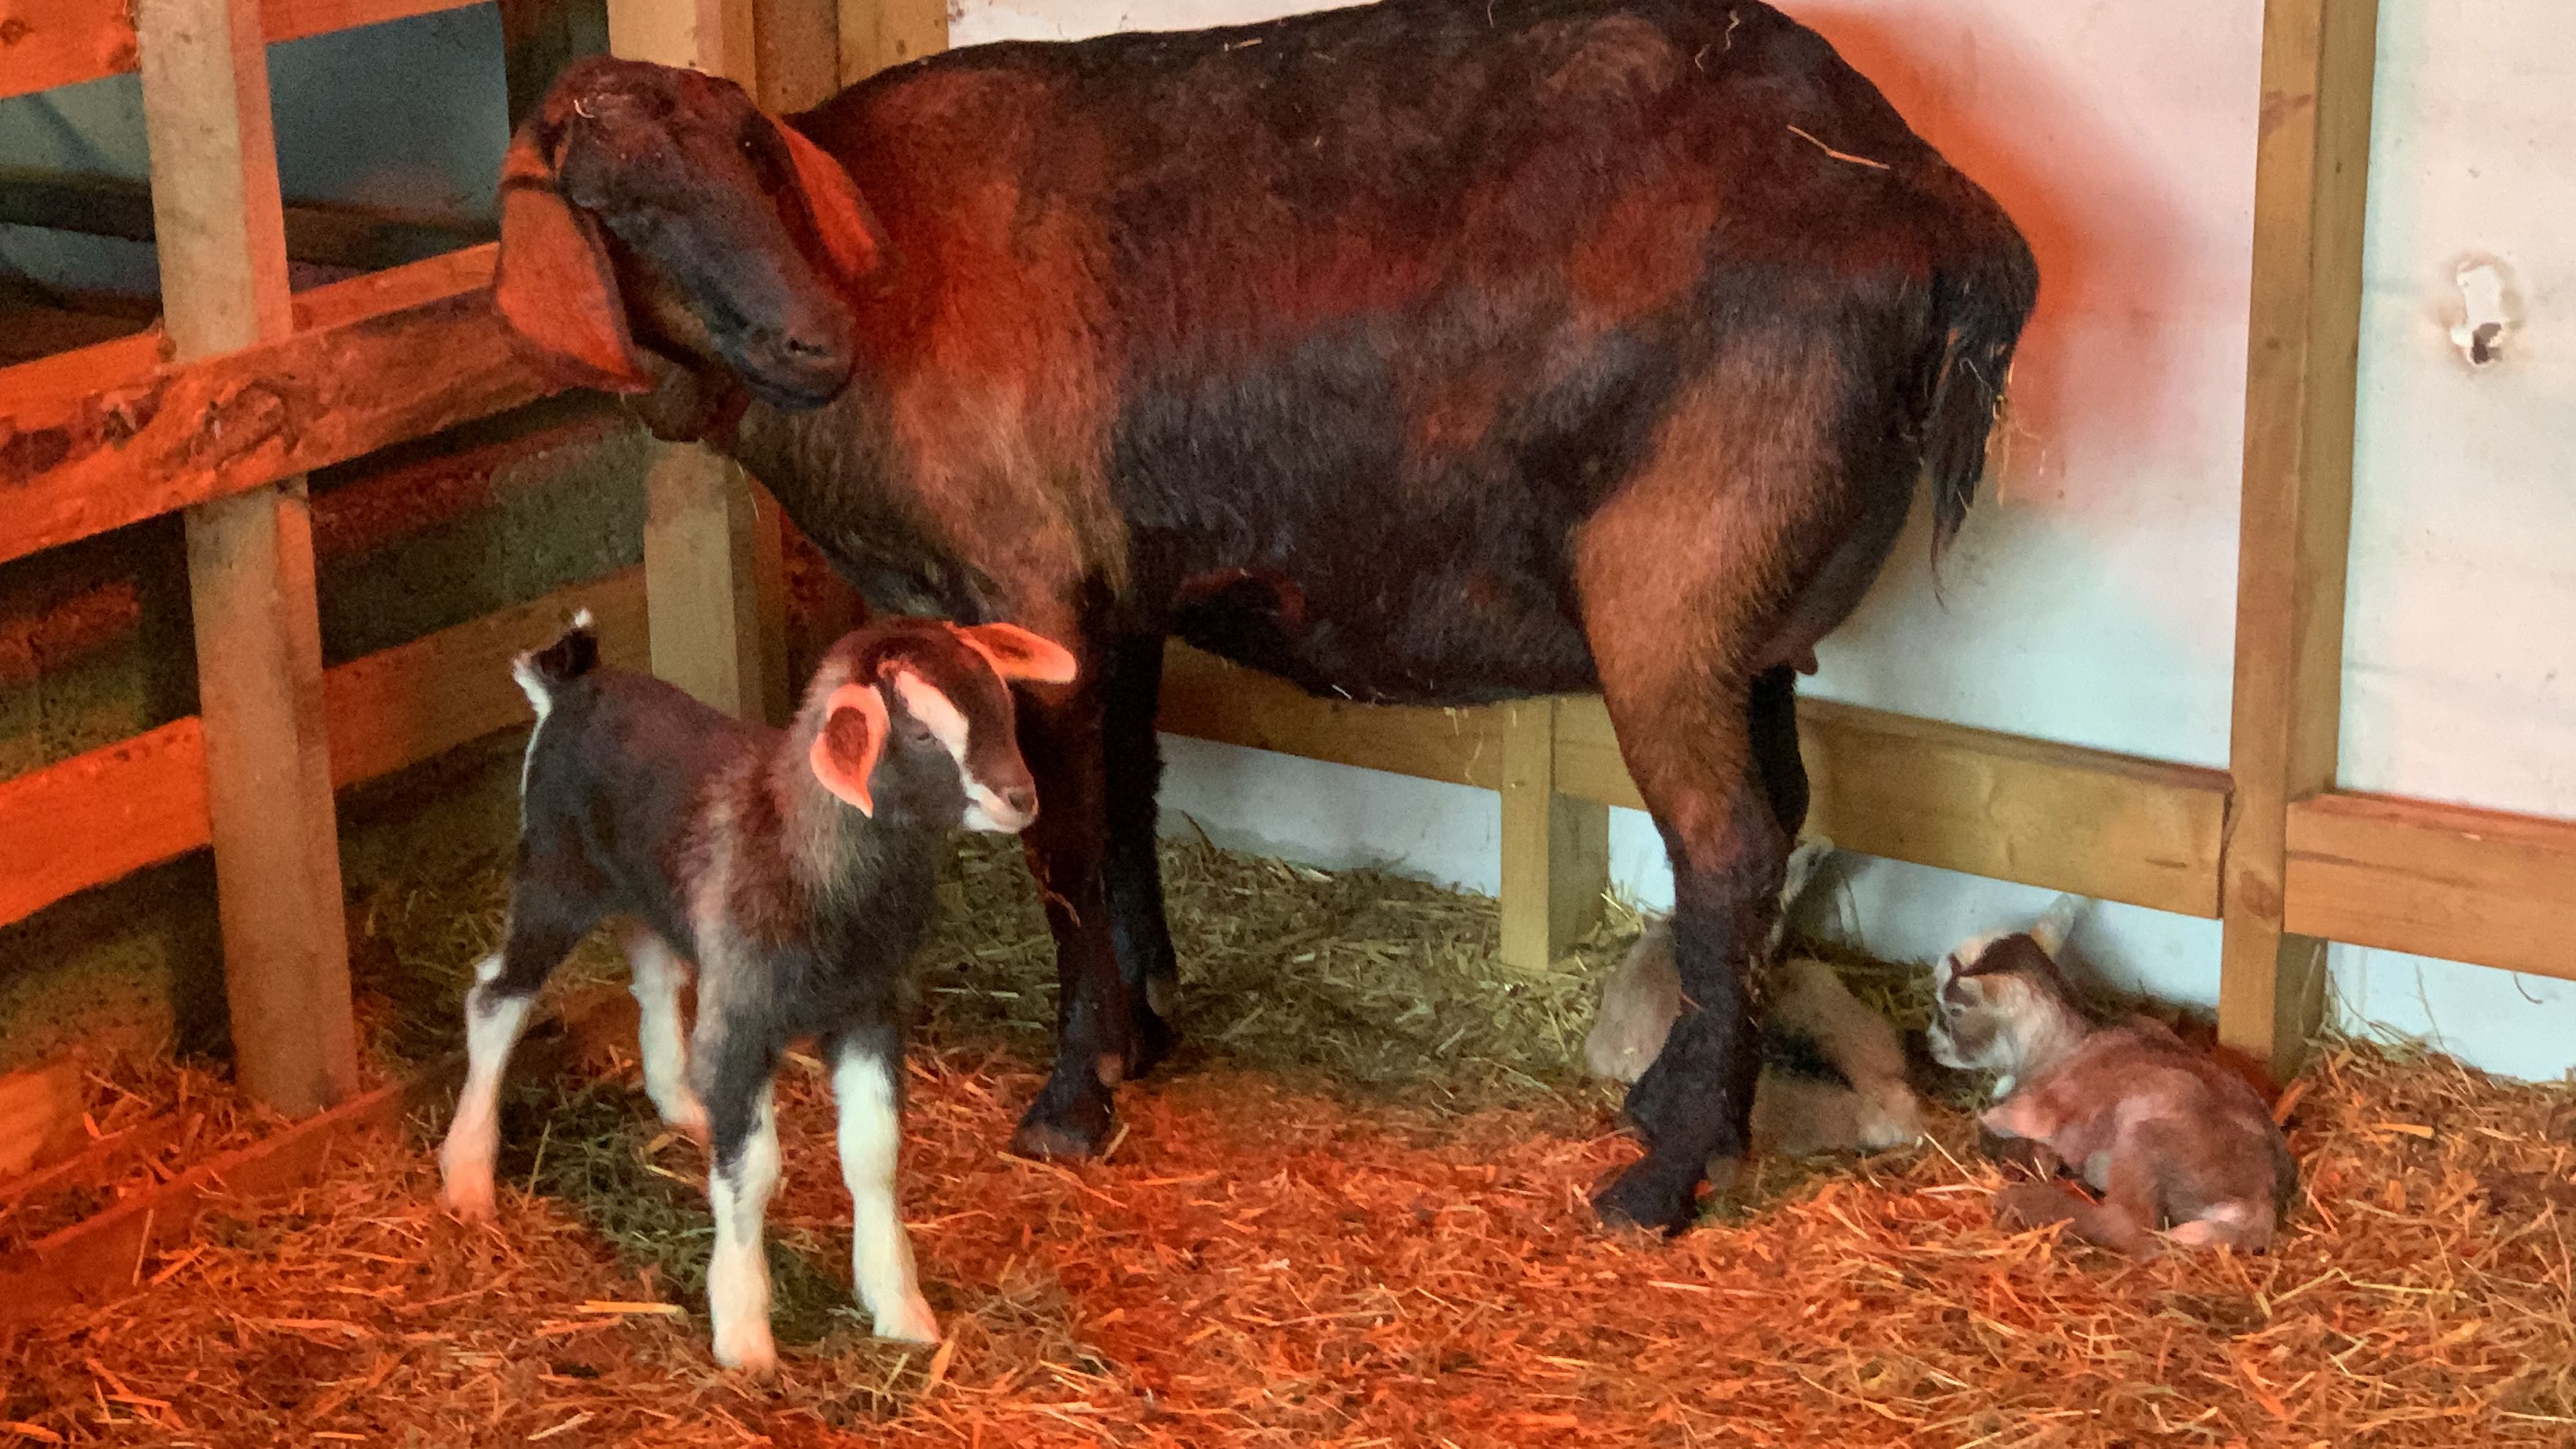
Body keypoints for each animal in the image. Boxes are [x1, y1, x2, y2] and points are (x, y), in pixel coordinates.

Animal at [434, 609, 1077, 1373]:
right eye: (920, 733)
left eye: (1004, 703)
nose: (1022, 799)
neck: (812, 861)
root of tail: (570, 681)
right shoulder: (747, 1017)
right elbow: (754, 1171)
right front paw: (743, 1332)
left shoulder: (870, 1009)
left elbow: (874, 1155)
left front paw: (898, 1307)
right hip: (555, 877)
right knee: (495, 999)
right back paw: (468, 1174)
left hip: (653, 891)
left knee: (656, 975)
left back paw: (682, 1101)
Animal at [1928, 900, 2298, 1258]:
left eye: (1953, 1009)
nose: (1930, 1042)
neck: (2063, 1044)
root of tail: (2258, 1203)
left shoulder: (2034, 1109)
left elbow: (1988, 1124)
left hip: (2144, 1134)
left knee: (2132, 1229)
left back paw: (2026, 1201)